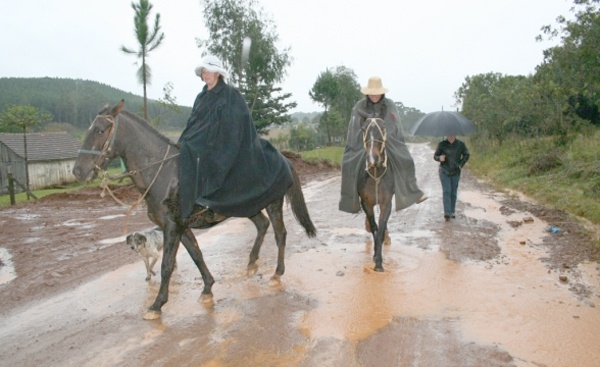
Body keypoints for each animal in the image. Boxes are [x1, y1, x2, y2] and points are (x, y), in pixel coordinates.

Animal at [72, 100, 316, 320]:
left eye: (100, 130)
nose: (78, 171)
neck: (164, 174)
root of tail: (283, 158)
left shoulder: (172, 227)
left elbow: (167, 265)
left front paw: (157, 305)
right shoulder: (180, 227)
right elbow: (196, 254)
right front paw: (207, 289)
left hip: (274, 204)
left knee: (280, 234)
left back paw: (277, 273)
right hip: (250, 207)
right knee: (262, 225)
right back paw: (251, 263)